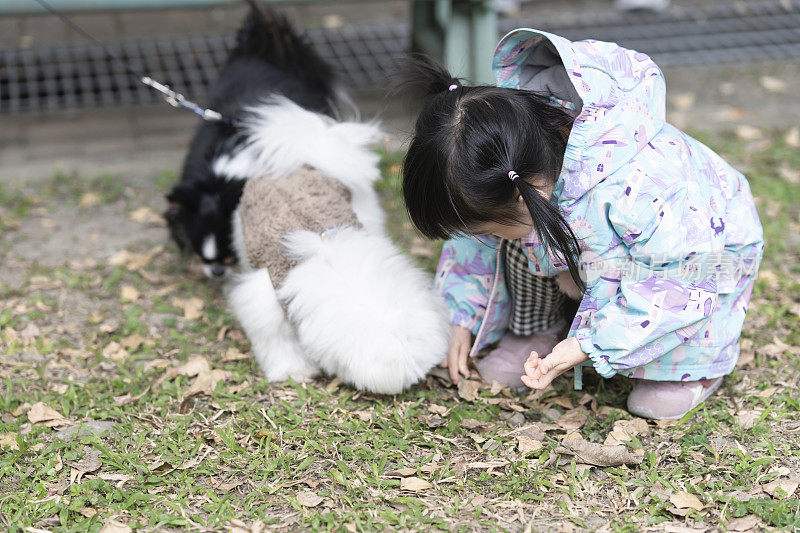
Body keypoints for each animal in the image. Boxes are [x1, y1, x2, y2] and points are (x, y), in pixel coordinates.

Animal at [222, 97, 454, 392]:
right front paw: (293, 370)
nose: (422, 378)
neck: (334, 266)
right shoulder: (266, 298)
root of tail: (305, 158)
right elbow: (278, 339)